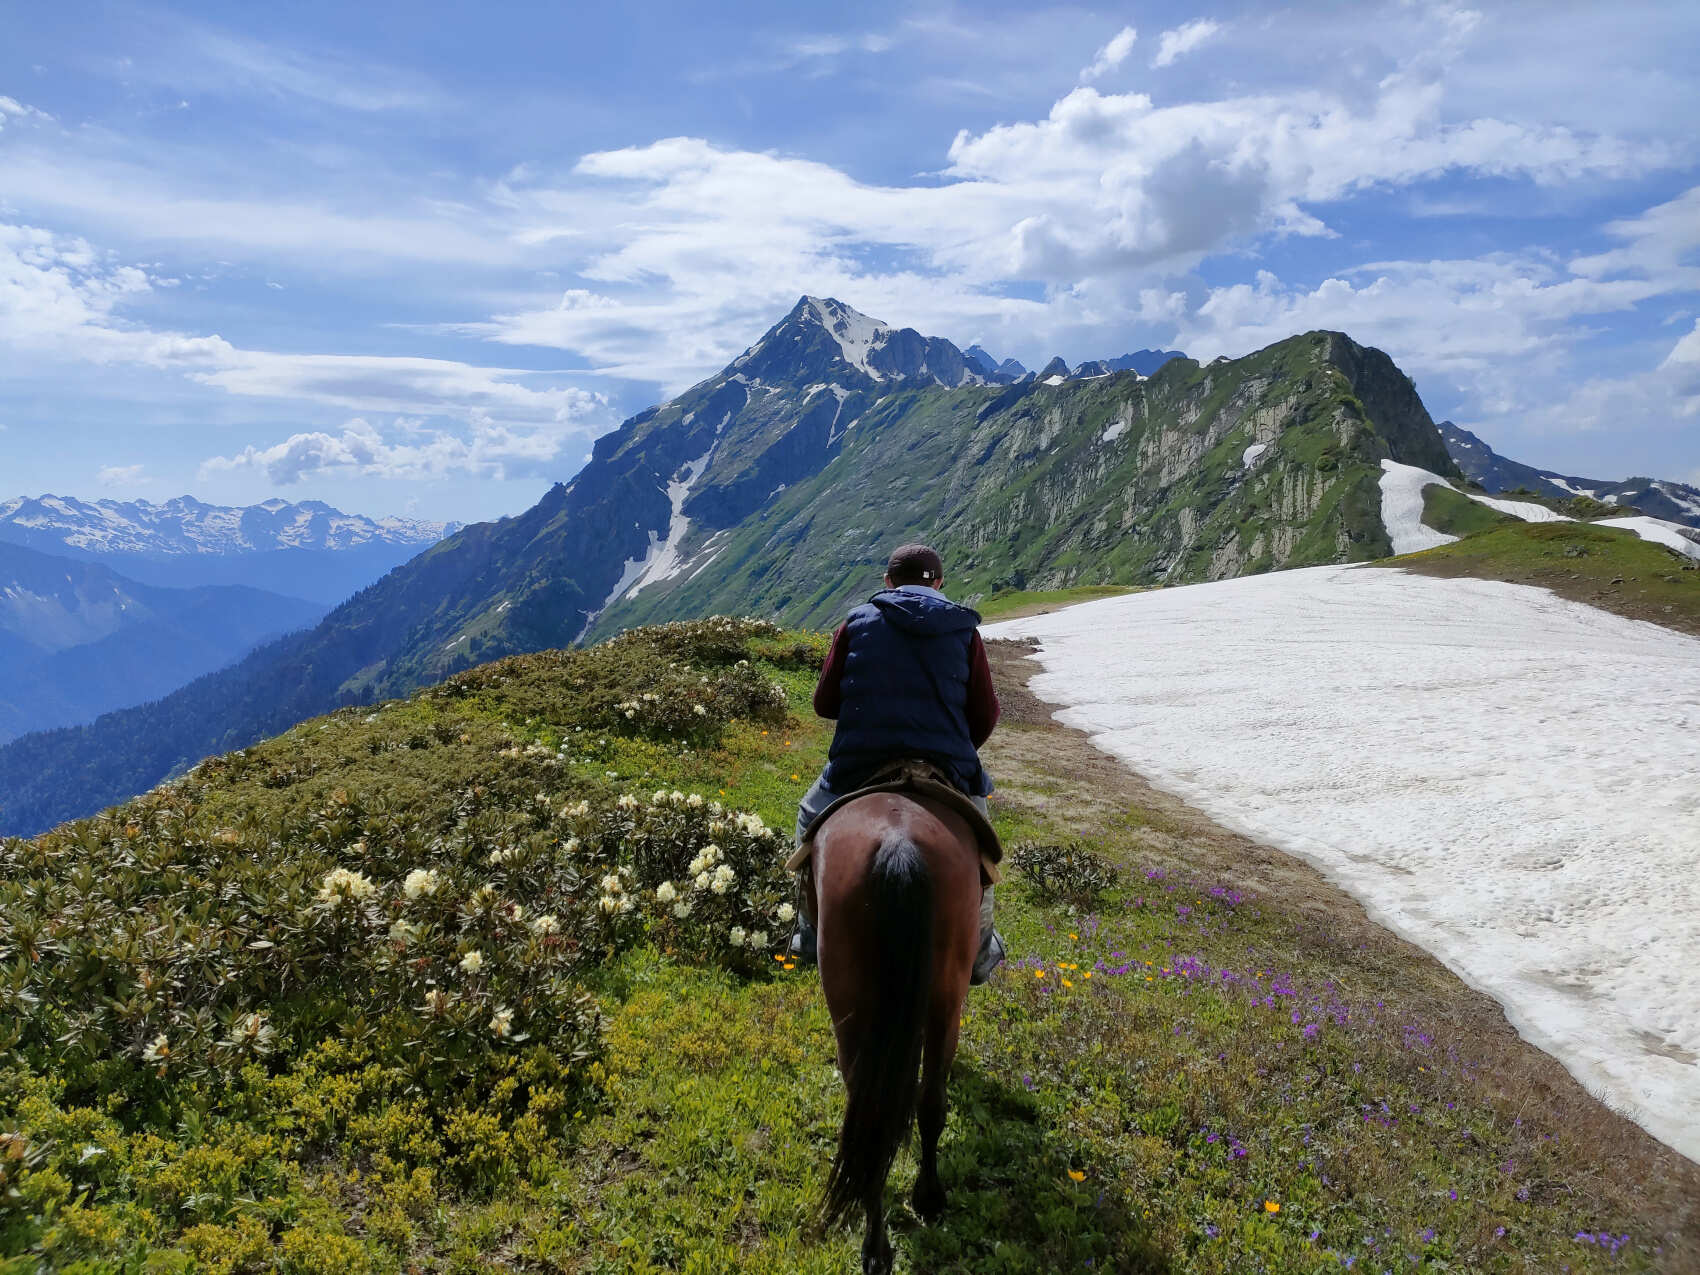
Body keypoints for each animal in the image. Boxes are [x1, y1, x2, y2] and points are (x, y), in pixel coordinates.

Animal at [809, 795, 986, 1271]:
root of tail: (897, 842)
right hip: (945, 995)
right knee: (924, 1102)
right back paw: (923, 1202)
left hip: (851, 1000)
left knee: (874, 1109)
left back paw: (878, 1244)